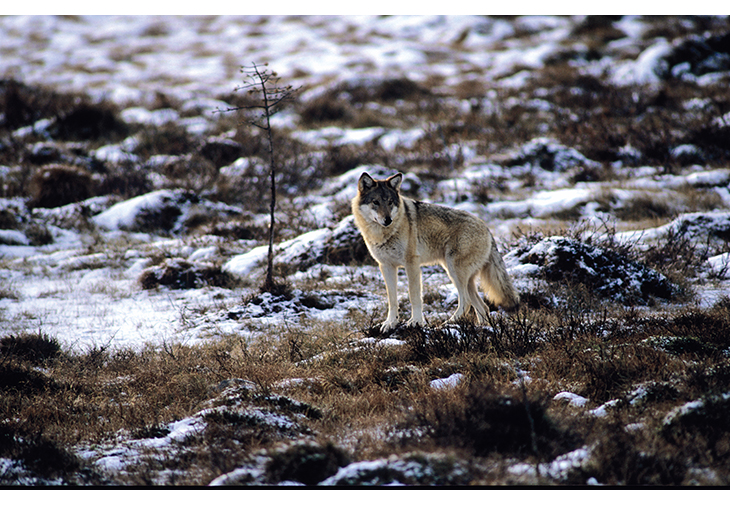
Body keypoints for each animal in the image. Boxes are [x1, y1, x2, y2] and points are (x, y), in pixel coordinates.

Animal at [352, 171, 516, 330]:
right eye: (376, 202)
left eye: (390, 202)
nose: (387, 220)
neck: (384, 234)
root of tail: (486, 228)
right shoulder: (386, 266)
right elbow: (392, 300)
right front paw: (390, 323)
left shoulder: (411, 263)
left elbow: (414, 295)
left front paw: (416, 321)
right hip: (461, 275)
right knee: (482, 306)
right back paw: (483, 328)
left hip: (454, 271)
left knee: (466, 302)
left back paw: (446, 324)